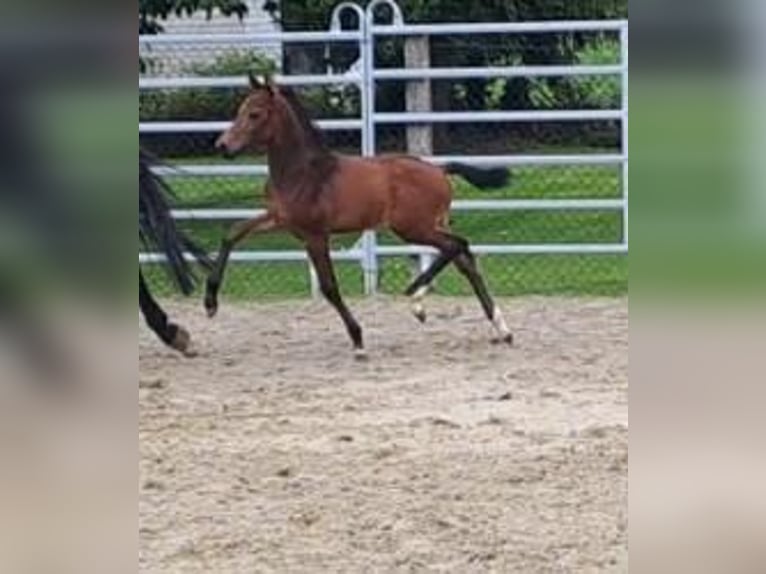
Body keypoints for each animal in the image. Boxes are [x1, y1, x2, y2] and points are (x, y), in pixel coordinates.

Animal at [207, 74, 512, 358]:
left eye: (255, 114)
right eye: (240, 110)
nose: (222, 146)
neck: (304, 173)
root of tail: (439, 169)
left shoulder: (315, 235)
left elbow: (329, 287)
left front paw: (358, 340)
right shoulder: (280, 219)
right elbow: (232, 233)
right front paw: (210, 303)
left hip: (414, 228)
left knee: (457, 245)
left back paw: (416, 299)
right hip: (429, 225)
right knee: (463, 257)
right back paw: (500, 327)